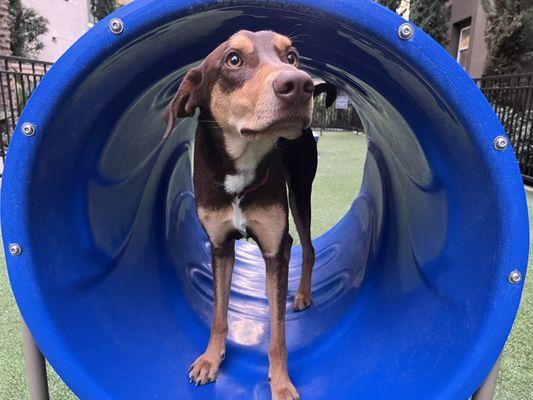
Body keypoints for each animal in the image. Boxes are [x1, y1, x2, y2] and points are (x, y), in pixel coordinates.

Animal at [164, 29, 334, 398]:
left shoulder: (274, 248)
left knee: (308, 247)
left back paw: (302, 295)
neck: (243, 162)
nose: (300, 84)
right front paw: (210, 360)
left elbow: (278, 332)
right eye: (233, 59)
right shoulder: (220, 247)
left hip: (299, 193)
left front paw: (281, 383)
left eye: (291, 57)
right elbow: (218, 313)